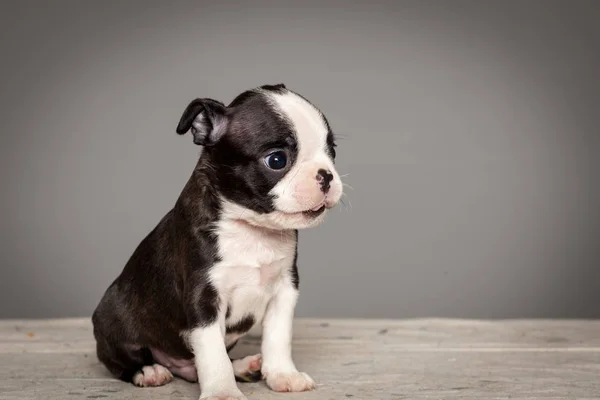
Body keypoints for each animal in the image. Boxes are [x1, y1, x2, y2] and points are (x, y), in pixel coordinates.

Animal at [89, 83, 342, 398]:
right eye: (277, 160)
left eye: (332, 151)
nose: (326, 175)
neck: (251, 230)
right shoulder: (204, 297)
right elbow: (213, 352)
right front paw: (223, 391)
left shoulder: (285, 289)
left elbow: (278, 337)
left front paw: (283, 374)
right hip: (110, 320)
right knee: (122, 361)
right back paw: (148, 371)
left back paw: (244, 366)